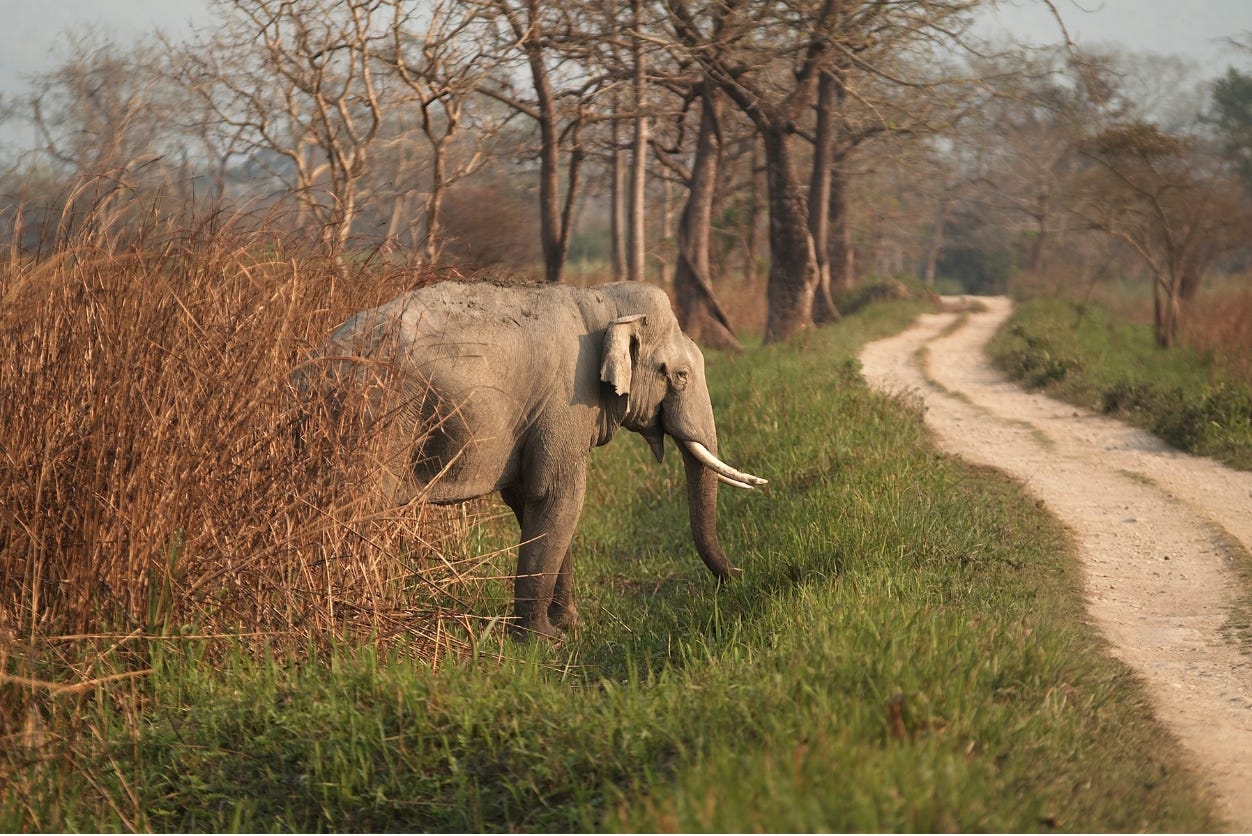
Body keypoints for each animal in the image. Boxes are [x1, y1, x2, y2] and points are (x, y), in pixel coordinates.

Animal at [296, 279, 766, 639]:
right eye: (680, 376)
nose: (739, 576)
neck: (600, 301)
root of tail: (306, 369)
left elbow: (532, 504)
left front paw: (570, 625)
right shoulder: (565, 402)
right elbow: (560, 497)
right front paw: (544, 639)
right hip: (373, 427)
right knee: (355, 511)